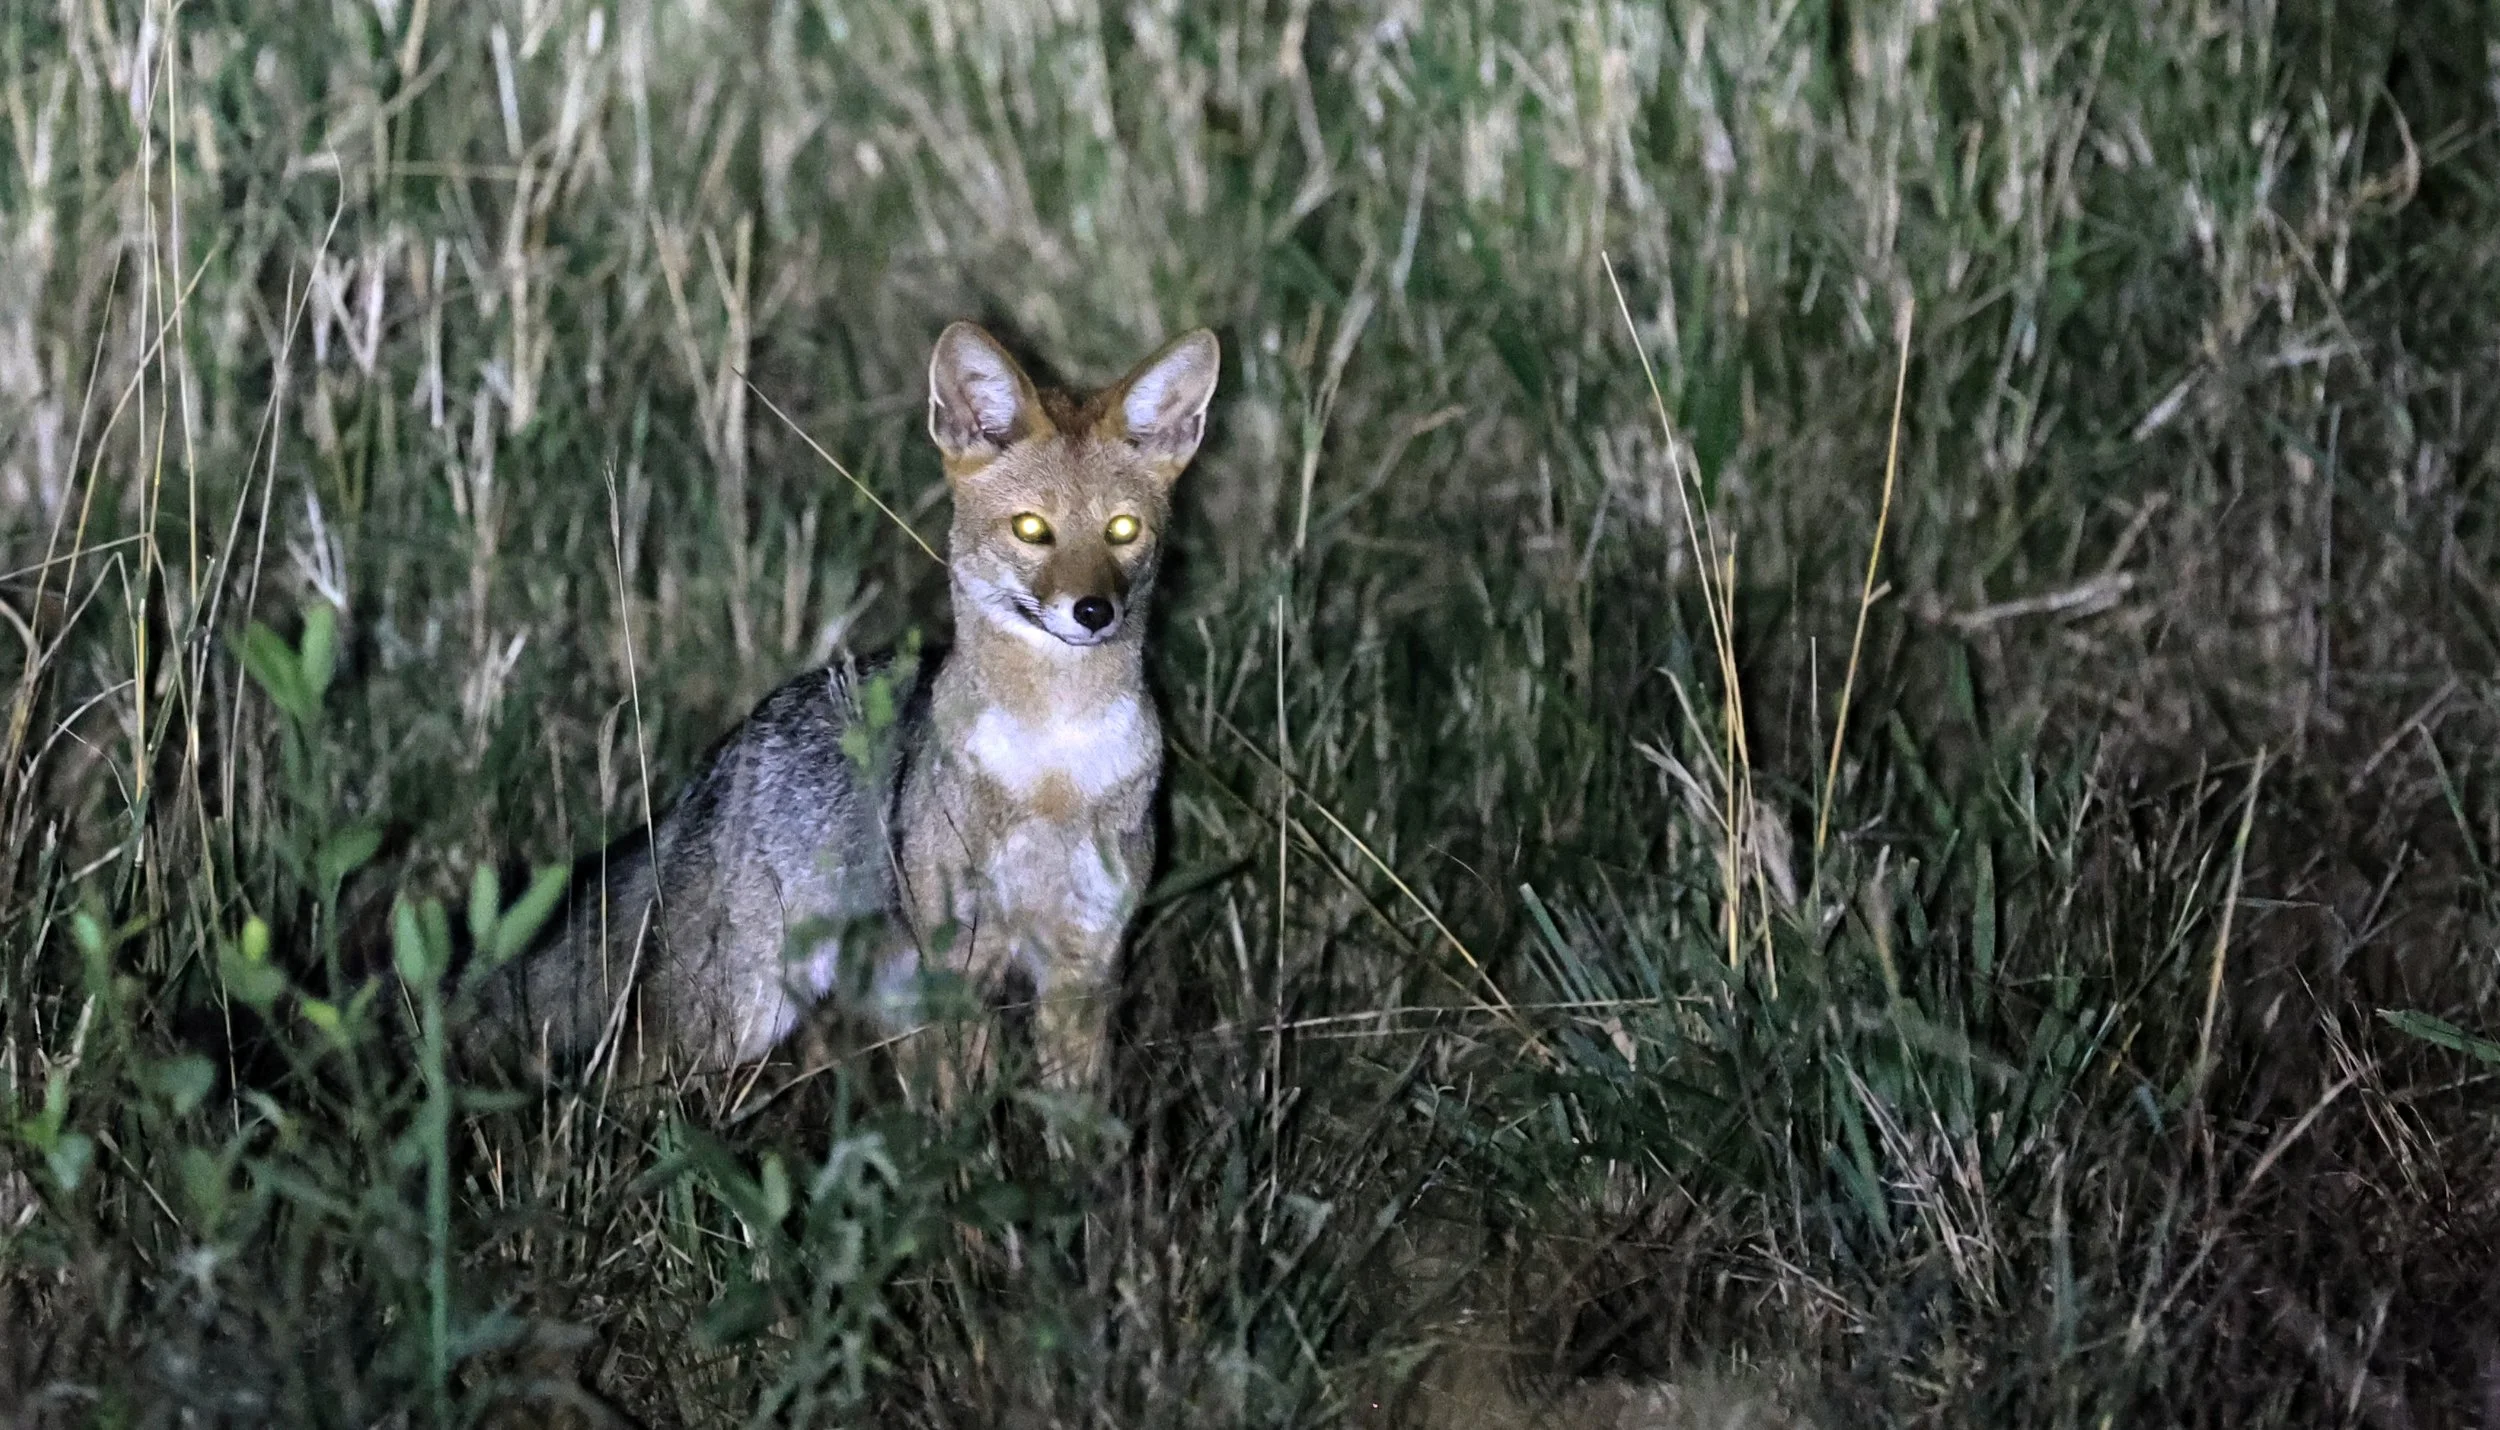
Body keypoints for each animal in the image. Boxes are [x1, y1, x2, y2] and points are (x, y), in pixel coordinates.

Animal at [477, 321, 1220, 1095]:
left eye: (1123, 531)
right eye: (1031, 529)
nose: (1094, 611)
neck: (1055, 769)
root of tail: (711, 768)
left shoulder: (1083, 967)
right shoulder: (960, 962)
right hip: (738, 1017)